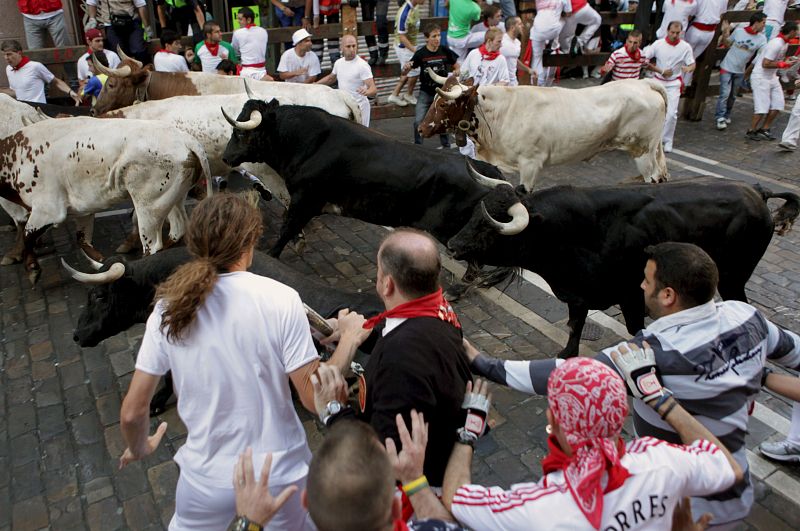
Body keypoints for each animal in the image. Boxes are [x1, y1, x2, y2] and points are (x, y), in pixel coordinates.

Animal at [446, 172, 796, 360]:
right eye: (476, 214)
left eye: (489, 228)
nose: (452, 245)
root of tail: (757, 191)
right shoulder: (578, 294)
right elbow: (575, 325)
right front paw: (567, 354)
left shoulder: (631, 297)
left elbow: (635, 330)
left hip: (735, 276)